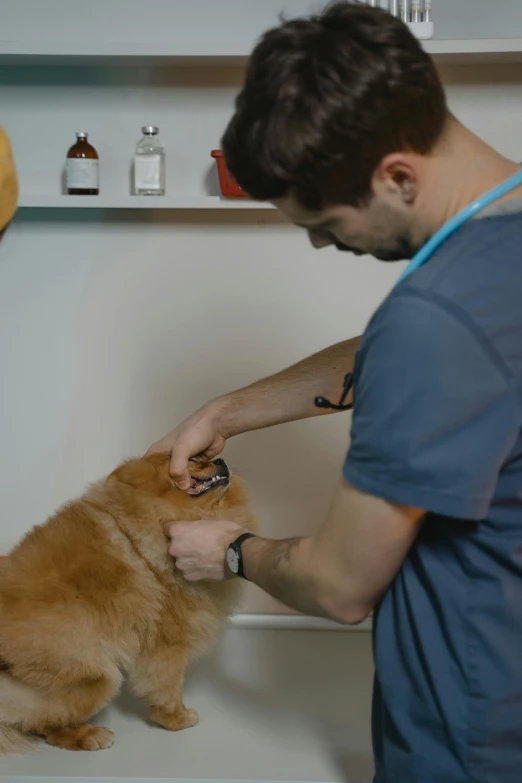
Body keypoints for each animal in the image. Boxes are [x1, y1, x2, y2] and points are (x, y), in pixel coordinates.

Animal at [0, 454, 254, 752]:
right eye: (194, 460)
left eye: (206, 455)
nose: (221, 459)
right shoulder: (166, 642)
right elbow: (167, 685)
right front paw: (176, 717)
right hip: (96, 674)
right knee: (45, 722)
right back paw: (90, 735)